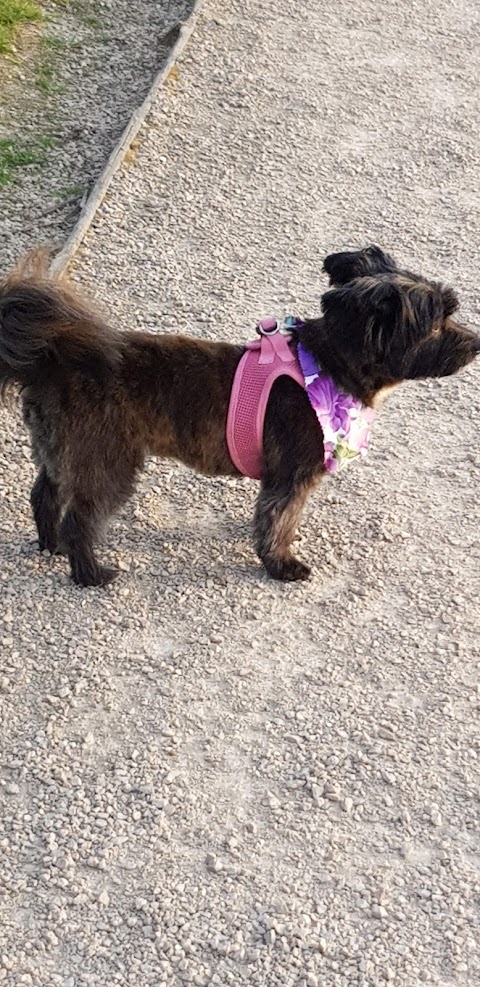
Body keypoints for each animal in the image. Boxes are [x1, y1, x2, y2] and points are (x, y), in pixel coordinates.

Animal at [0, 247, 478, 588]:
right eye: (437, 323)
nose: (475, 342)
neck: (326, 366)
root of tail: (55, 359)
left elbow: (270, 516)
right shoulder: (292, 475)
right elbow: (278, 520)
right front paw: (281, 565)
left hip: (61, 452)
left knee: (44, 496)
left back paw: (51, 546)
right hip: (106, 462)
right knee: (80, 519)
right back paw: (89, 574)